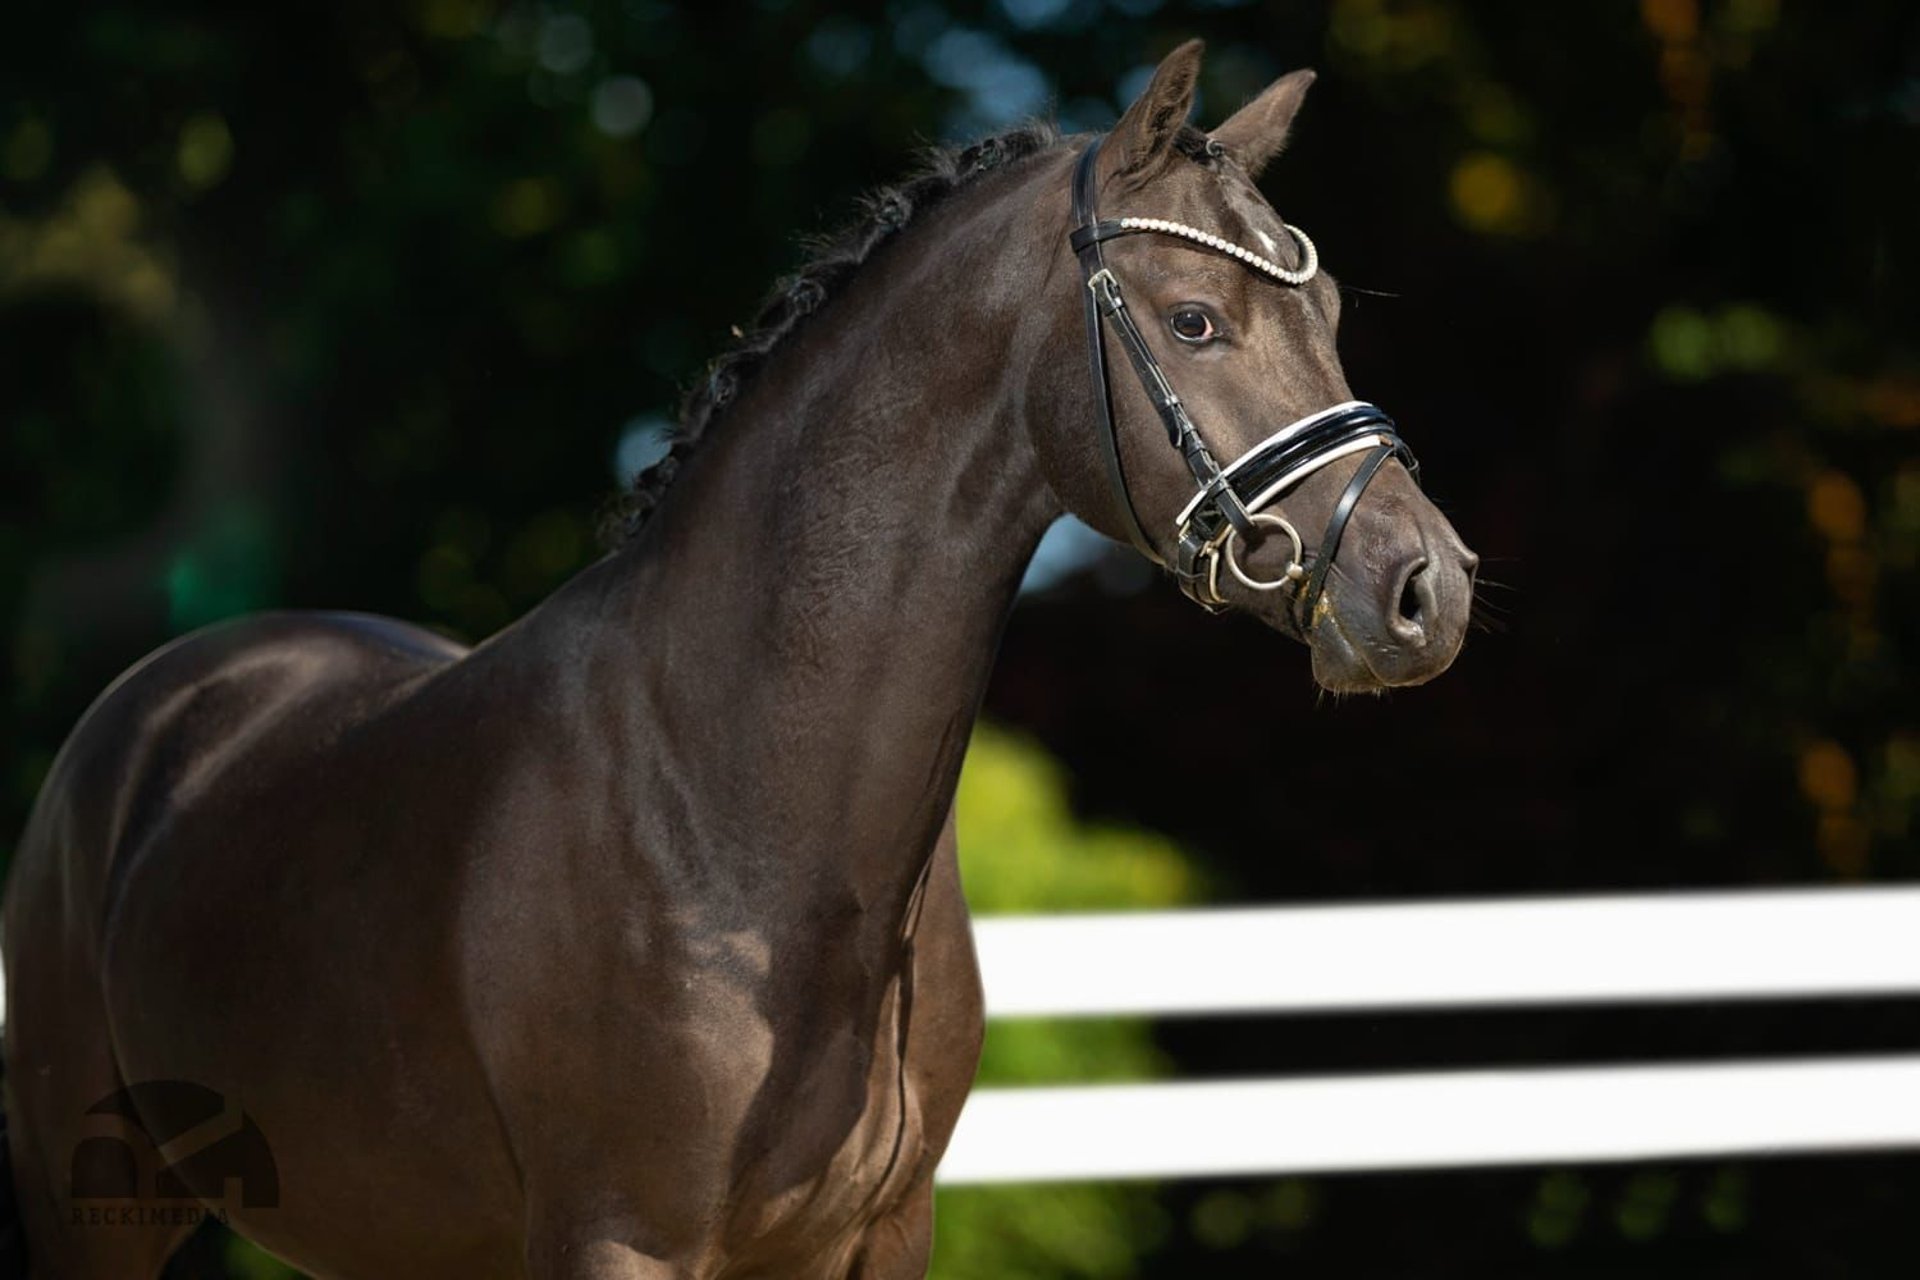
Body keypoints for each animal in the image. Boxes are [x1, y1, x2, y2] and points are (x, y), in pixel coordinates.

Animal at [0, 40, 1474, 1280]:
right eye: (1193, 320)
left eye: (1328, 306)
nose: (1426, 589)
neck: (741, 808)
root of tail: (163, 701)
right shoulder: (619, 1239)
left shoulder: (877, 1237)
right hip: (98, 1212)